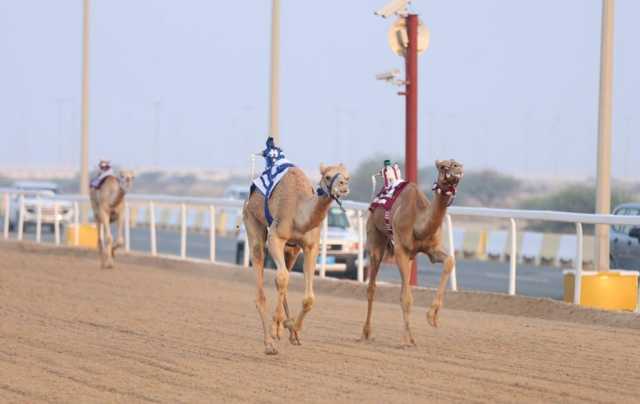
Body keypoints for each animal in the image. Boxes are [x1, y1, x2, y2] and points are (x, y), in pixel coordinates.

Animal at [242, 163, 350, 356]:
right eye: (327, 176)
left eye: (348, 176)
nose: (343, 186)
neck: (299, 214)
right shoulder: (276, 237)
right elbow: (282, 277)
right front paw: (276, 328)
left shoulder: (310, 246)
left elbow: (309, 298)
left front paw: (294, 330)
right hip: (252, 222)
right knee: (264, 278)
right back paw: (270, 343)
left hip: (293, 250)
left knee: (284, 275)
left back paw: (290, 329)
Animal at [362, 159, 462, 346]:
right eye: (443, 166)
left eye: (459, 164)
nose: (457, 169)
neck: (418, 224)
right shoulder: (401, 250)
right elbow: (406, 298)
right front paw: (407, 340)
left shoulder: (431, 250)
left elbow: (449, 261)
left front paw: (432, 317)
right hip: (374, 236)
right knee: (372, 286)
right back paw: (366, 333)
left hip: (408, 257)